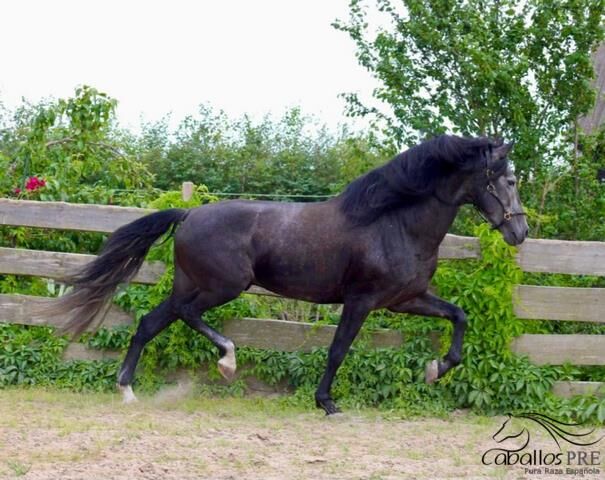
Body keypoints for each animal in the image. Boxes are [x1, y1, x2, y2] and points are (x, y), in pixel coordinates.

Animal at [50, 134, 524, 412]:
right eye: (509, 180)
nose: (519, 231)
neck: (393, 223)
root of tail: (188, 215)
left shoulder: (404, 300)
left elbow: (459, 317)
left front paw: (435, 369)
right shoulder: (361, 301)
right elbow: (337, 351)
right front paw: (326, 403)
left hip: (193, 283)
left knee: (151, 323)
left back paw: (128, 390)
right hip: (224, 285)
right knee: (186, 315)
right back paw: (227, 361)